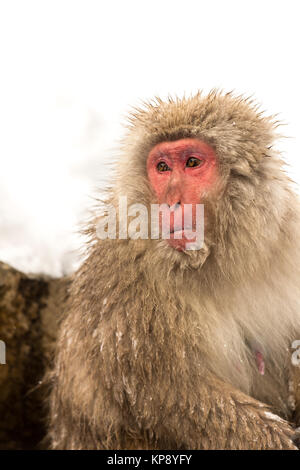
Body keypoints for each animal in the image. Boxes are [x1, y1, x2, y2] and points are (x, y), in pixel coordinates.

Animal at [48, 91, 300, 448]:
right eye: (163, 167)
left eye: (192, 163)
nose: (171, 202)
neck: (217, 262)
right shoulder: (129, 286)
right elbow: (167, 398)